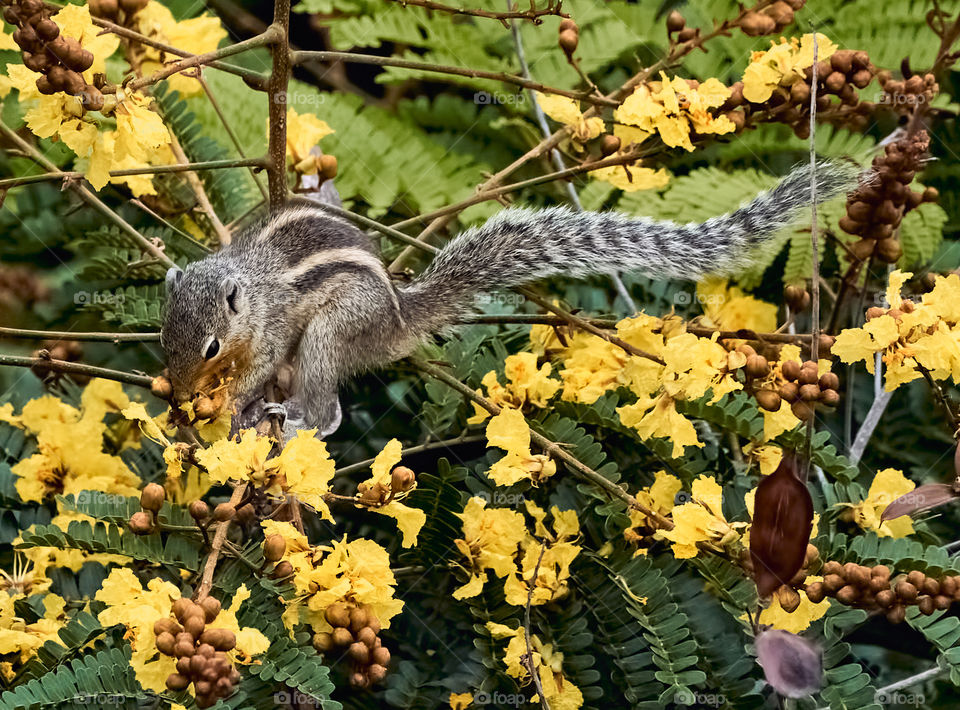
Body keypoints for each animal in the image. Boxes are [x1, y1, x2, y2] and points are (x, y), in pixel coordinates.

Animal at [161, 161, 860, 440]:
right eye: (164, 337)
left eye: (211, 346)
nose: (178, 391)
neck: (248, 289)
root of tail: (396, 319)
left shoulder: (276, 326)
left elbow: (258, 365)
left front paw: (230, 402)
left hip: (338, 327)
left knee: (327, 396)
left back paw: (300, 416)